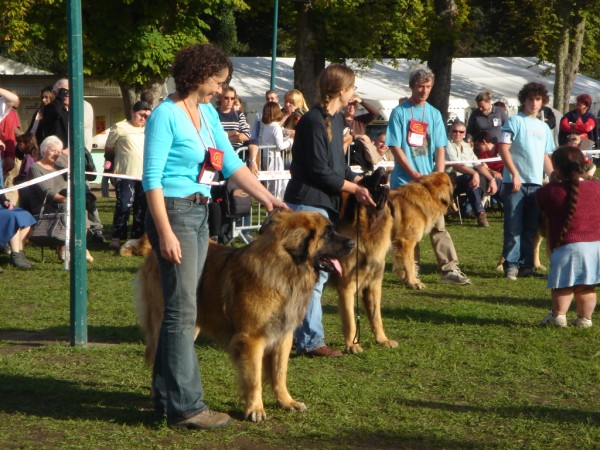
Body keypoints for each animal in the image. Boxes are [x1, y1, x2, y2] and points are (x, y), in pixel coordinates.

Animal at [134, 210, 354, 422]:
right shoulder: (252, 339)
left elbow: (279, 373)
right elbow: (254, 378)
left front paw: (286, 402)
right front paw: (255, 409)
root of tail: (154, 251)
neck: (287, 270)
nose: (353, 243)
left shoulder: (283, 336)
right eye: (327, 233)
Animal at [332, 167, 398, 354]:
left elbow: (376, 317)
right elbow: (350, 321)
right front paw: (352, 345)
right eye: (367, 179)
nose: (382, 168)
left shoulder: (373, 285)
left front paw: (382, 340)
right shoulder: (347, 287)